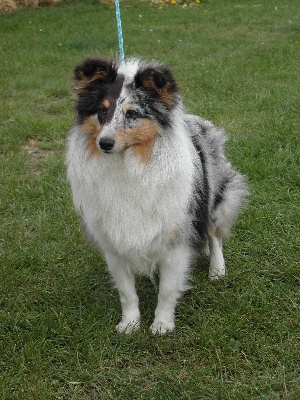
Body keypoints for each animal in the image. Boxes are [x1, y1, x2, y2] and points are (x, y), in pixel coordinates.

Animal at [66, 57, 248, 334]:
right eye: (101, 111)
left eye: (132, 113)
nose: (104, 143)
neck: (127, 166)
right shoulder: (113, 243)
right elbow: (126, 292)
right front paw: (129, 324)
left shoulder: (175, 239)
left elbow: (167, 289)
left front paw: (162, 324)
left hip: (215, 197)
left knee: (214, 233)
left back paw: (217, 270)